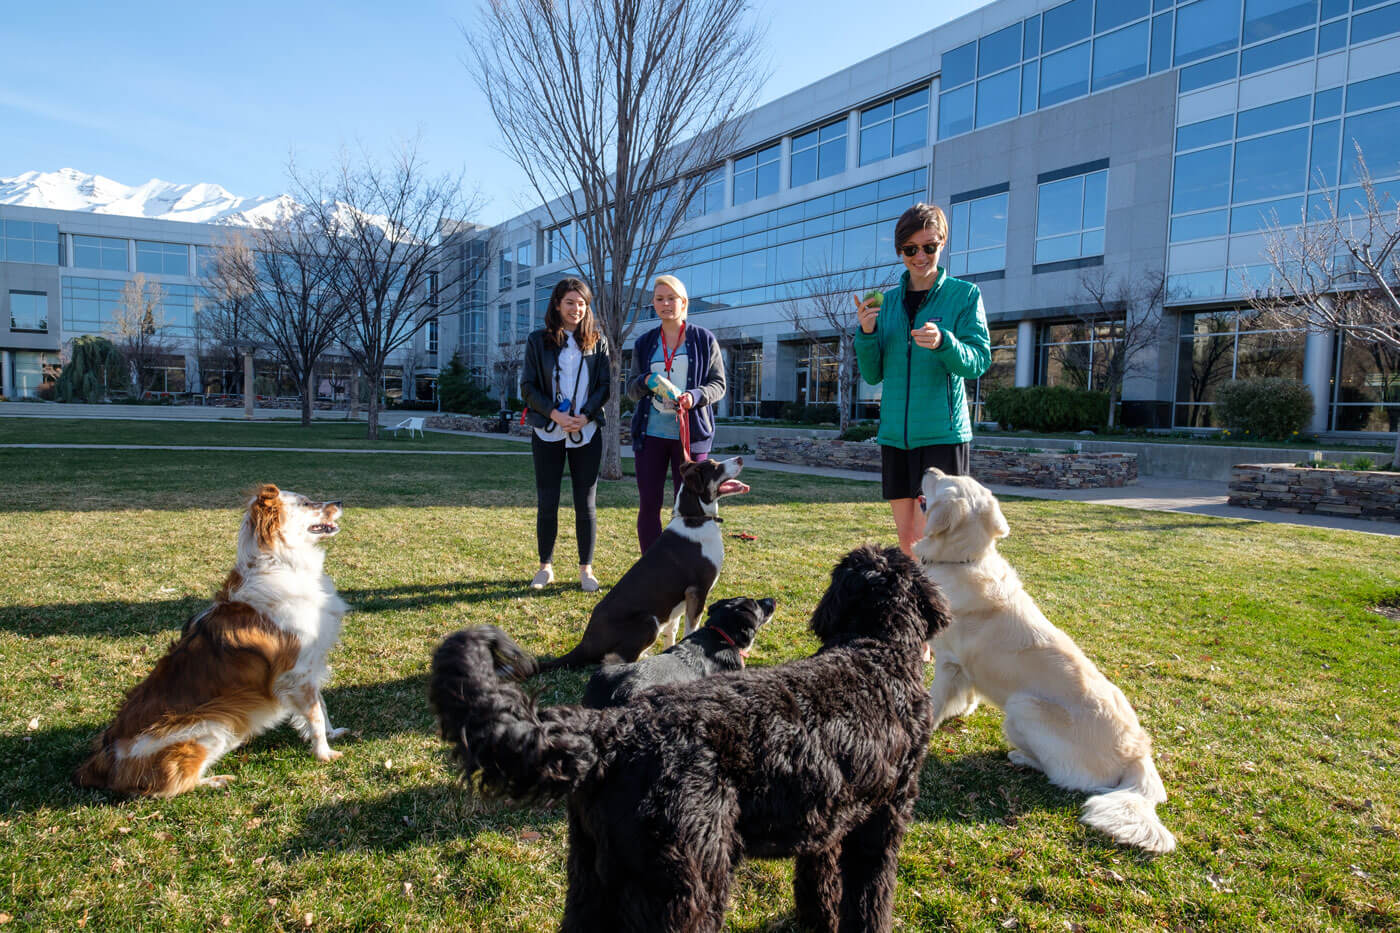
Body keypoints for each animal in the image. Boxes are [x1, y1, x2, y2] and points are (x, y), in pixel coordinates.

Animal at [73, 481, 352, 795]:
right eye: (305, 503)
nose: (340, 501)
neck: (281, 563)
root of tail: (105, 757)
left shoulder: (309, 669)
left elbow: (322, 707)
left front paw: (332, 734)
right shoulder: (297, 672)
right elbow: (314, 715)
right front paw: (324, 753)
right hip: (215, 723)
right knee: (170, 787)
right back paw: (216, 781)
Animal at [534, 456, 750, 669]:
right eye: (714, 467)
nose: (740, 458)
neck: (696, 518)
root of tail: (585, 644)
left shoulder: (681, 600)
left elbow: (672, 630)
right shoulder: (697, 591)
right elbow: (690, 630)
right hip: (649, 621)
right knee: (614, 660)